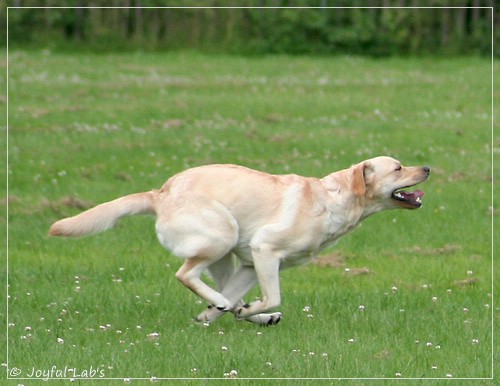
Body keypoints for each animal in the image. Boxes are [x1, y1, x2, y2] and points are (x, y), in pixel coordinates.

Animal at [49, 155, 430, 324]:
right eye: (397, 168)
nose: (427, 168)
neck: (334, 200)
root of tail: (160, 193)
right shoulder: (265, 250)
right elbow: (272, 296)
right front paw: (250, 309)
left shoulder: (250, 263)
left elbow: (242, 301)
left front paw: (229, 314)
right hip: (222, 234)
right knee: (186, 275)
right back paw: (224, 305)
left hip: (227, 255)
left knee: (225, 297)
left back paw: (228, 311)